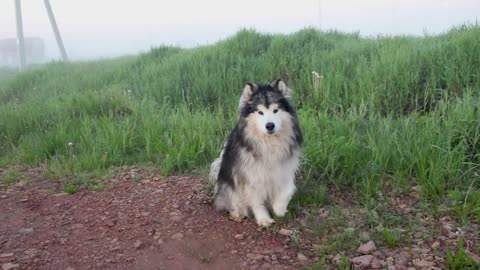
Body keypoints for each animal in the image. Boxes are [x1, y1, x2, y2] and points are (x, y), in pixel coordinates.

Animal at [208, 79, 302, 227]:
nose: (270, 125)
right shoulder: (251, 176)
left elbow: (286, 191)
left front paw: (279, 209)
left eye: (275, 110)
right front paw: (263, 218)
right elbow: (257, 200)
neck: (269, 143)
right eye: (260, 112)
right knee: (233, 201)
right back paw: (238, 213)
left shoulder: (285, 169)